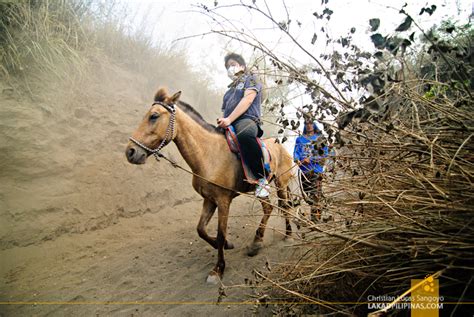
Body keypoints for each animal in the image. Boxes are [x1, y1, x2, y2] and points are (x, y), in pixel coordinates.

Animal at [127, 87, 296, 282]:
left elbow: (221, 234)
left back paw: (288, 236)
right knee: (268, 208)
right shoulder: (209, 199)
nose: (130, 152)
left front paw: (218, 269)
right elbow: (200, 229)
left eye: (153, 116)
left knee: (285, 207)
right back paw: (256, 242)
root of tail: (281, 146)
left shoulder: (223, 200)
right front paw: (224, 245)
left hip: (281, 183)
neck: (209, 154)